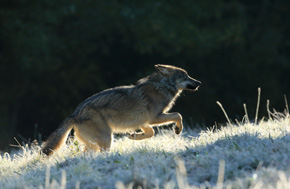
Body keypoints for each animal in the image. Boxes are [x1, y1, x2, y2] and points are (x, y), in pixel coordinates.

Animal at [42, 64, 202, 156]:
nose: (199, 82)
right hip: (107, 139)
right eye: (185, 76)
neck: (162, 86)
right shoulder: (154, 118)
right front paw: (178, 129)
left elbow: (151, 133)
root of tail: (74, 113)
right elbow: (178, 115)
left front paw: (134, 137)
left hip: (94, 144)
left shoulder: (144, 122)